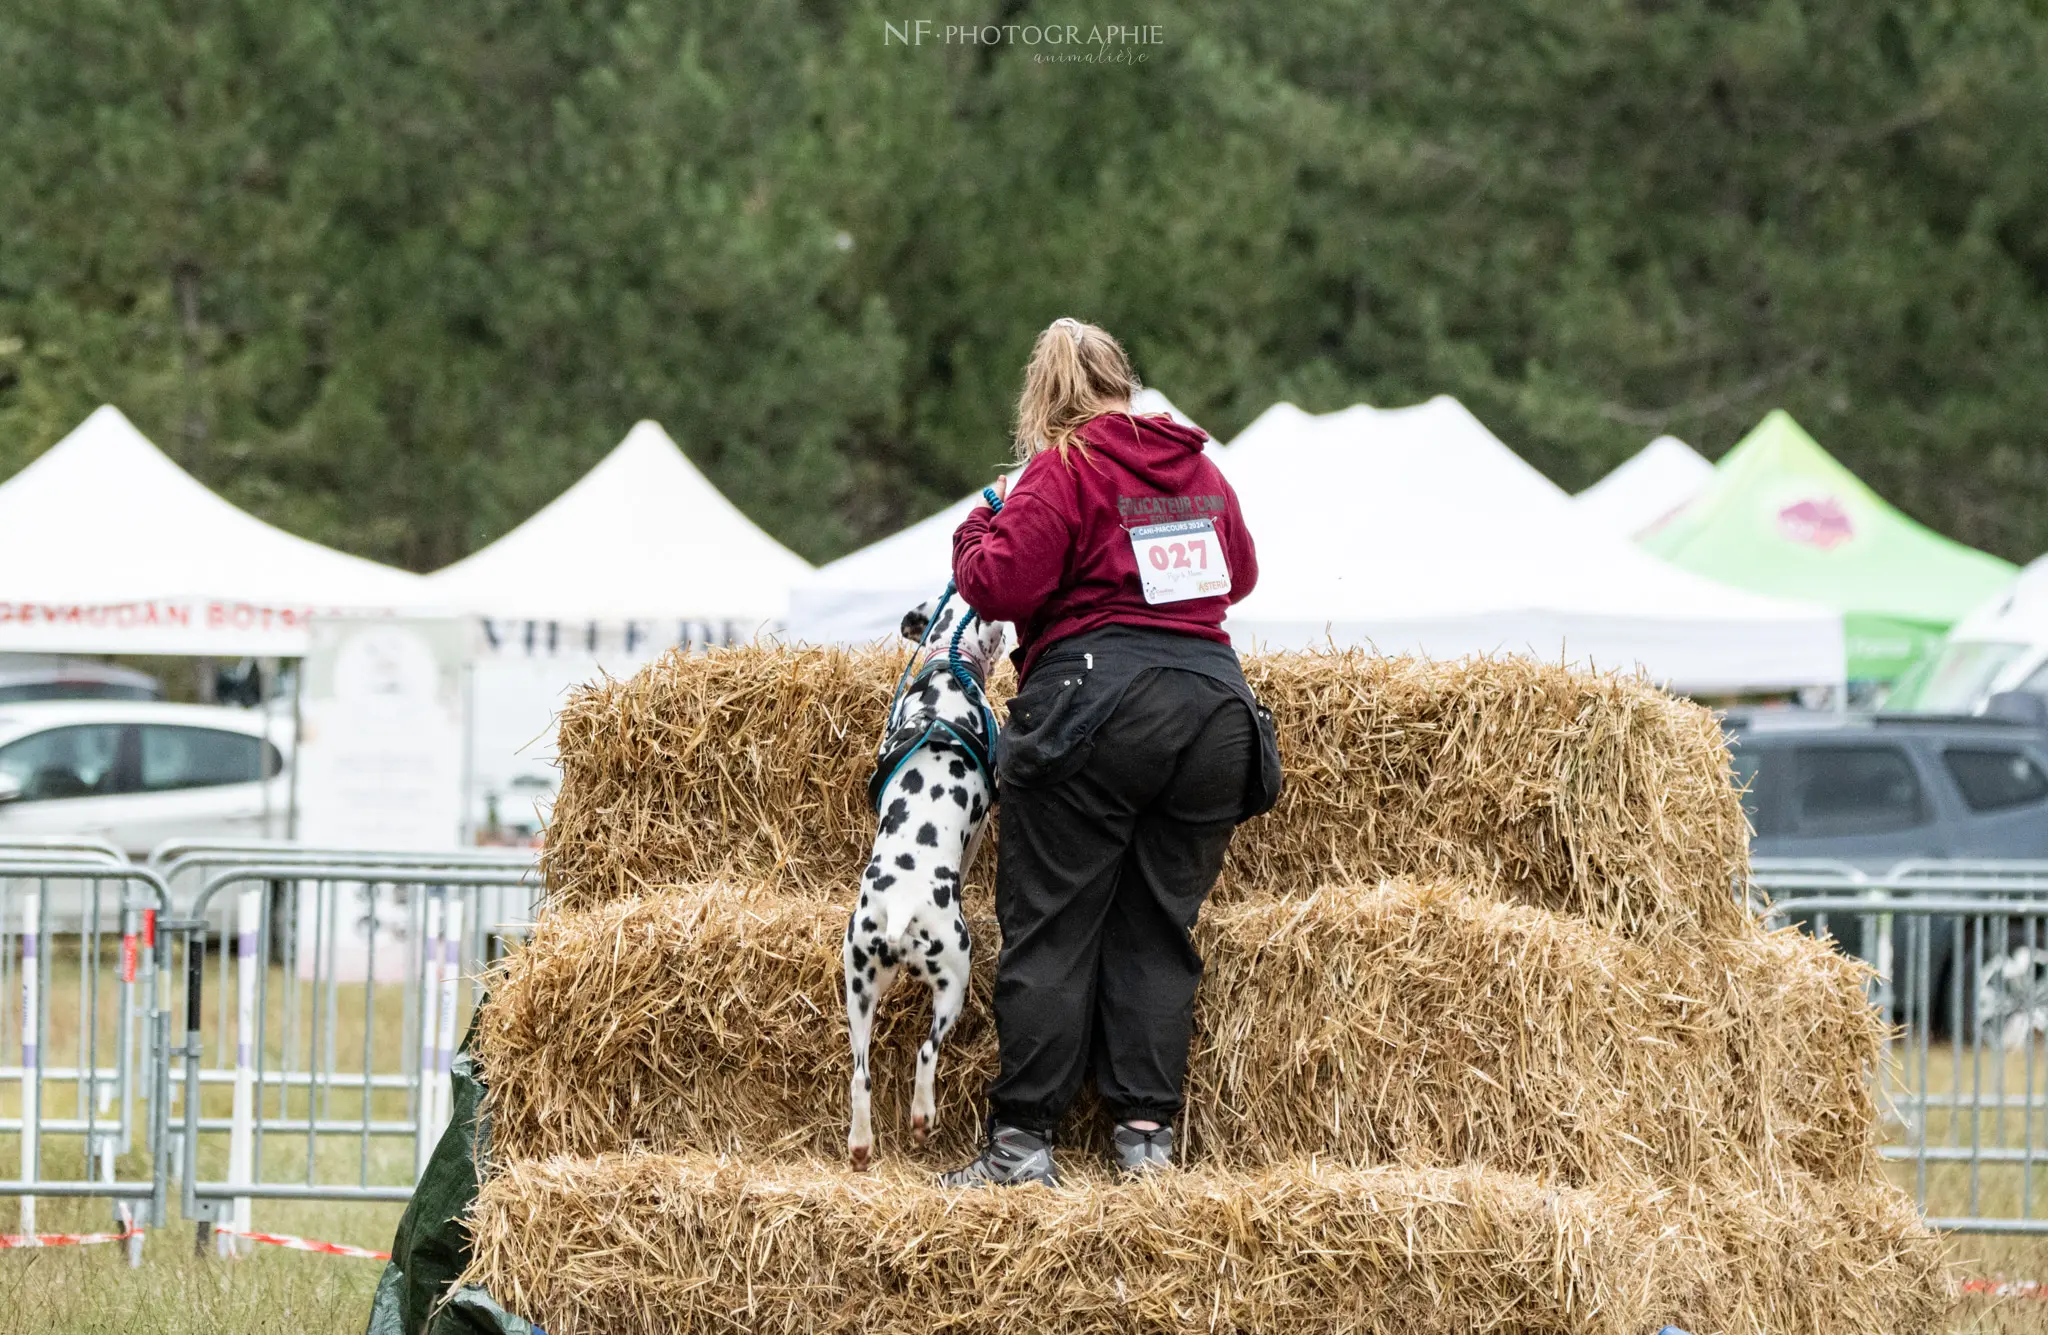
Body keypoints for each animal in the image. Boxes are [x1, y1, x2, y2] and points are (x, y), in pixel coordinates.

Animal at [843, 593, 1003, 1171]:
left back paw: (862, 1145)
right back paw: (921, 1117)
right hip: (954, 983)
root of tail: (901, 911)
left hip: (858, 989)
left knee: (861, 1075)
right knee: (926, 1053)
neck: (945, 670)